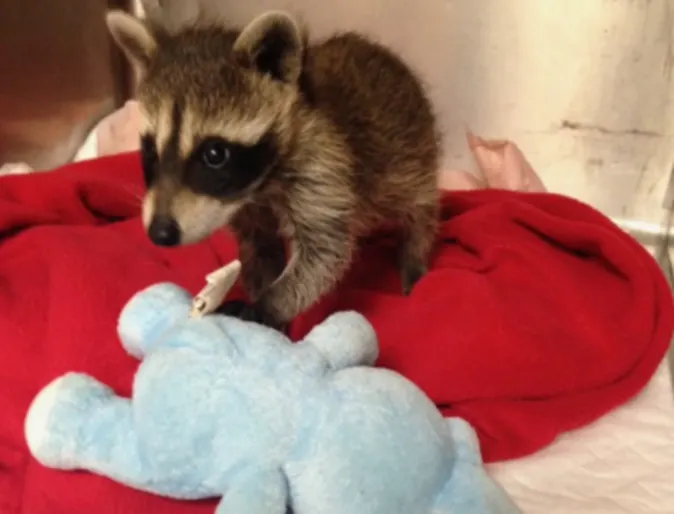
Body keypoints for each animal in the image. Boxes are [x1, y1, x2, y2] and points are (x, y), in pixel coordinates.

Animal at [107, 9, 438, 328]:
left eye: (215, 154)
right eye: (150, 150)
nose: (160, 233)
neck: (258, 186)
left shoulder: (324, 166)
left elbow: (324, 253)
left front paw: (268, 305)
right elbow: (261, 248)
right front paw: (263, 300)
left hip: (409, 157)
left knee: (419, 206)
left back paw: (415, 250)